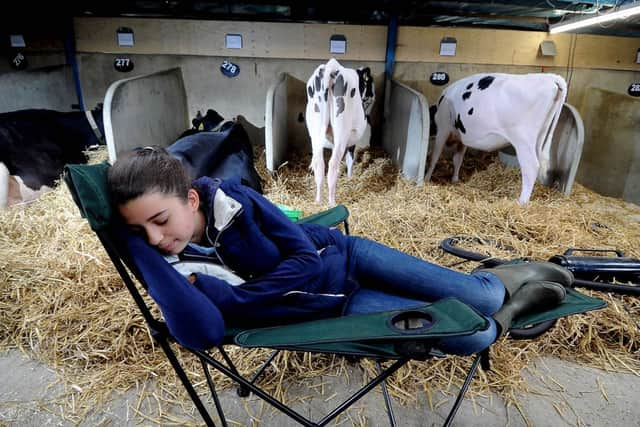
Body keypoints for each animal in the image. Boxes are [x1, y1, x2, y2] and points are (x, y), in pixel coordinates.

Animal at [304, 59, 376, 206]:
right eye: (370, 82)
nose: (373, 96)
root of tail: (332, 67)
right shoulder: (352, 140)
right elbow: (350, 159)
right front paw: (349, 178)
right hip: (342, 134)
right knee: (332, 165)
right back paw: (332, 202)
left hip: (315, 132)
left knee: (319, 164)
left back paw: (318, 201)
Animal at [428, 73, 568, 206]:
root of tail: (550, 78)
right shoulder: (462, 138)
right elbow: (458, 159)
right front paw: (455, 180)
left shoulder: (443, 129)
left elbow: (434, 157)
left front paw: (427, 178)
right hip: (540, 136)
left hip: (523, 139)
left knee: (531, 166)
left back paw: (521, 203)